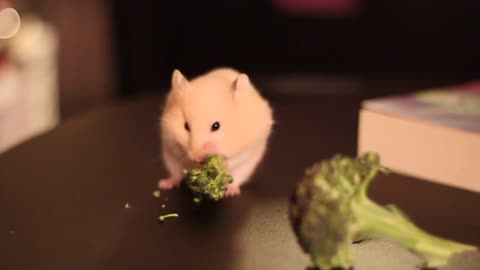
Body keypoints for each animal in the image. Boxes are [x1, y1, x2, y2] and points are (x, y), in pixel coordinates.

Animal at [158, 66, 274, 195]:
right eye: (186, 126)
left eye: (216, 126)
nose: (198, 158)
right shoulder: (170, 145)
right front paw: (198, 166)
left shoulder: (246, 150)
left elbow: (230, 160)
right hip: (170, 158)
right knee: (175, 174)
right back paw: (164, 185)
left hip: (247, 164)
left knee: (237, 178)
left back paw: (231, 192)